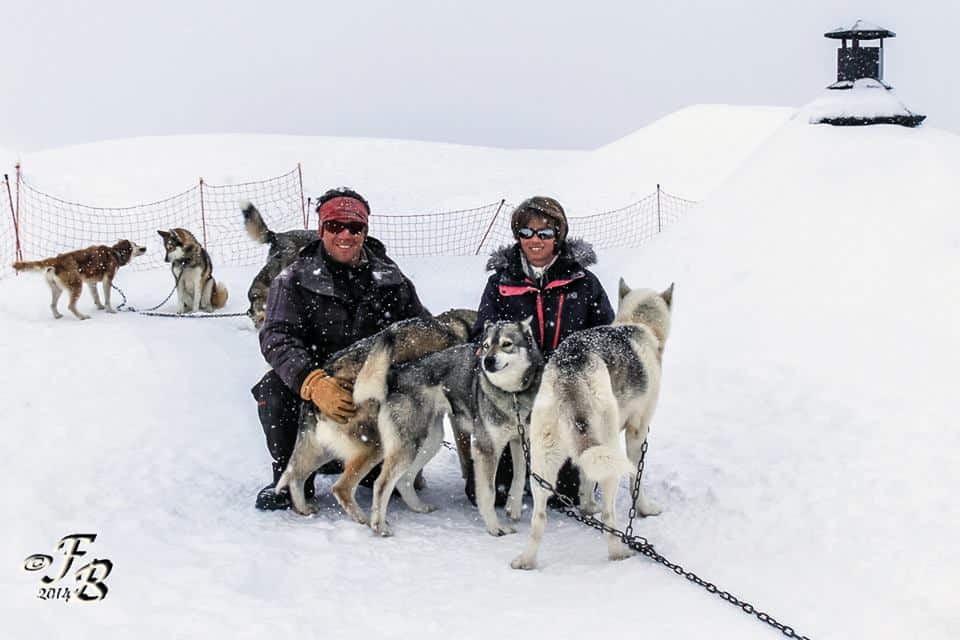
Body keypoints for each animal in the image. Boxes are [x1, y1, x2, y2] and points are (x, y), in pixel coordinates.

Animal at [11, 240, 147, 320]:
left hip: (57, 289)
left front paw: (100, 307)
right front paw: (110, 310)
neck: (115, 253)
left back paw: (57, 315)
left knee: (52, 305)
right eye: (134, 245)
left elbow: (96, 296)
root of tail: (56, 260)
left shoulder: (91, 283)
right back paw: (82, 316)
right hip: (76, 285)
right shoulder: (107, 281)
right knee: (71, 306)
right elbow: (107, 299)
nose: (144, 248)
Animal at [274, 308, 476, 524]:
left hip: (325, 450)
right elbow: (465, 453)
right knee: (342, 488)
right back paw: (364, 519)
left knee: (295, 476)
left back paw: (304, 509)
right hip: (375, 447)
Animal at [356, 318, 544, 536]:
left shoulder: (520, 440)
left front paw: (513, 508)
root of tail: (395, 373)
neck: (512, 394)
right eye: (486, 345)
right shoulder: (486, 449)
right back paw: (379, 526)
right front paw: (495, 527)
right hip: (410, 444)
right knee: (381, 483)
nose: (487, 361)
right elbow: (488, 493)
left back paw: (418, 507)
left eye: (507, 344)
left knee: (404, 479)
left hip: (429, 442)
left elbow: (520, 476)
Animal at [510, 280, 676, 568]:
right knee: (610, 514)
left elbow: (586, 481)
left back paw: (527, 560)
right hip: (609, 450)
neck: (637, 324)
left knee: (537, 519)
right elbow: (637, 479)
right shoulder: (637, 433)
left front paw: (587, 507)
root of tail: (571, 370)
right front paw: (645, 509)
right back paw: (619, 551)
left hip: (544, 462)